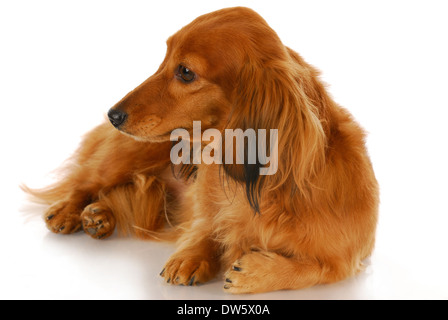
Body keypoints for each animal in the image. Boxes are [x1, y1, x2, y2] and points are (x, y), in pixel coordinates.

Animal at [25, 7, 378, 294]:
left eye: (185, 72)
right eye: (165, 58)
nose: (113, 115)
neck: (268, 188)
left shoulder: (348, 256)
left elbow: (315, 268)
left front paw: (257, 272)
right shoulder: (205, 207)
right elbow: (206, 228)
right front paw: (191, 256)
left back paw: (99, 215)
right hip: (131, 155)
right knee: (87, 182)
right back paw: (70, 211)